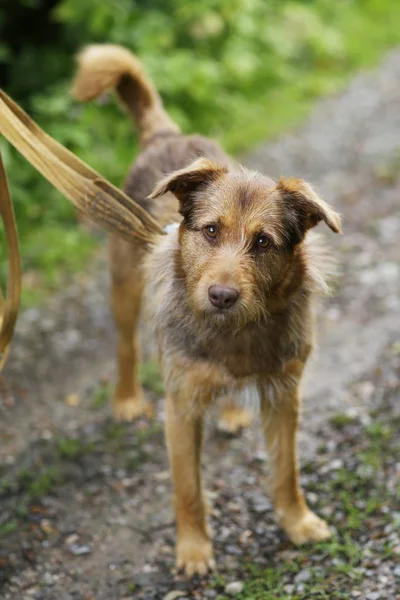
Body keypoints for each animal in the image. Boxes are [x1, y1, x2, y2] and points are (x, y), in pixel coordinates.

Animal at [72, 44, 340, 576]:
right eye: (211, 230)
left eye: (263, 242)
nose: (221, 295)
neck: (235, 331)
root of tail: (166, 135)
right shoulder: (180, 408)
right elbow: (188, 490)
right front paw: (194, 550)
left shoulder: (284, 395)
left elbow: (286, 470)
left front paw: (297, 523)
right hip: (124, 284)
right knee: (127, 345)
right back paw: (127, 398)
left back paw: (233, 411)